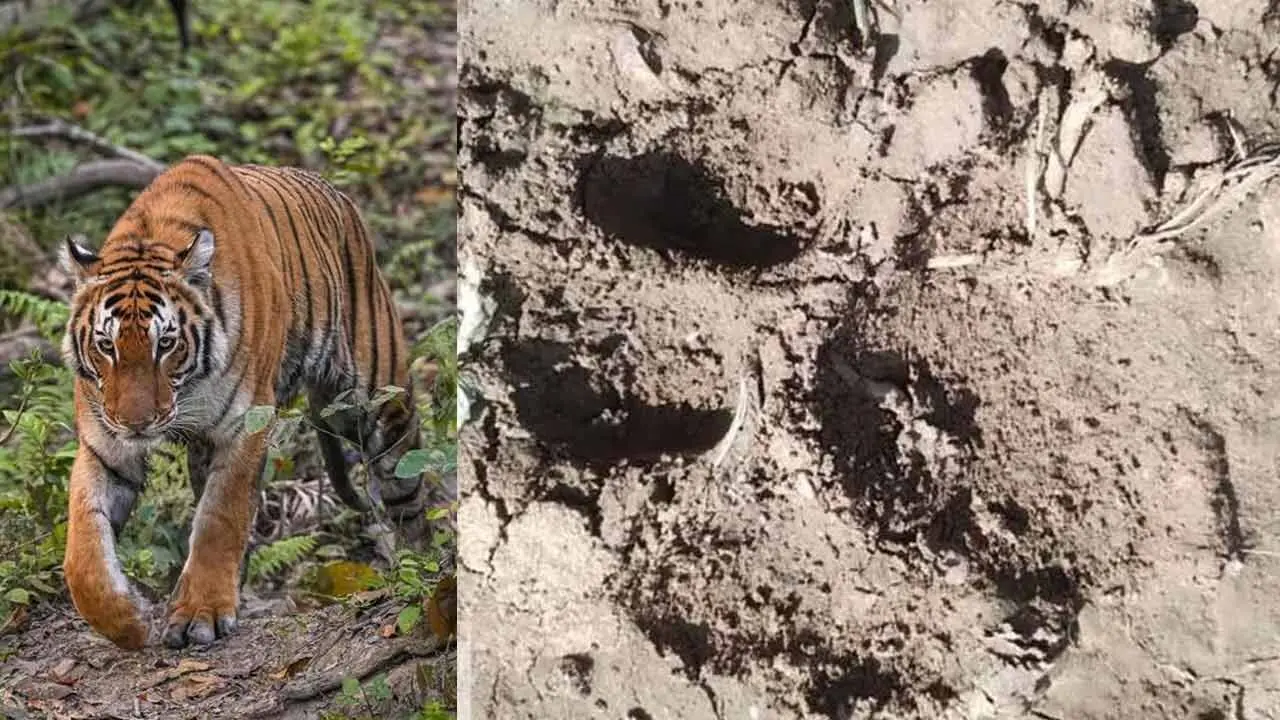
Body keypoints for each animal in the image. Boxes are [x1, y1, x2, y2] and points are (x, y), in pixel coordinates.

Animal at [58, 155, 425, 650]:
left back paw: (424, 566)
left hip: (374, 399)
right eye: (106, 345)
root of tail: (338, 195)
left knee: (409, 486)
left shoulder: (244, 426)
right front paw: (128, 623)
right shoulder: (104, 446)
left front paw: (201, 613)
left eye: (165, 343)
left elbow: (220, 517)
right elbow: (83, 548)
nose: (137, 423)